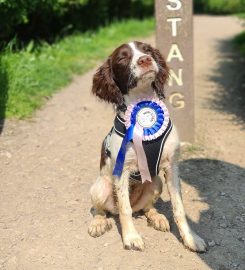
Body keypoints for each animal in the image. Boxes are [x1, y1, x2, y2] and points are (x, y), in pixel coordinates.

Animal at [88, 41, 207, 252]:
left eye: (147, 50)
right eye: (122, 57)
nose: (145, 60)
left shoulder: (172, 167)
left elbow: (179, 208)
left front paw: (191, 239)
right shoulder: (122, 171)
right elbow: (125, 209)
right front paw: (131, 237)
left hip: (155, 182)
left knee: (146, 207)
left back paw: (157, 218)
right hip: (99, 187)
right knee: (102, 209)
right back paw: (98, 223)